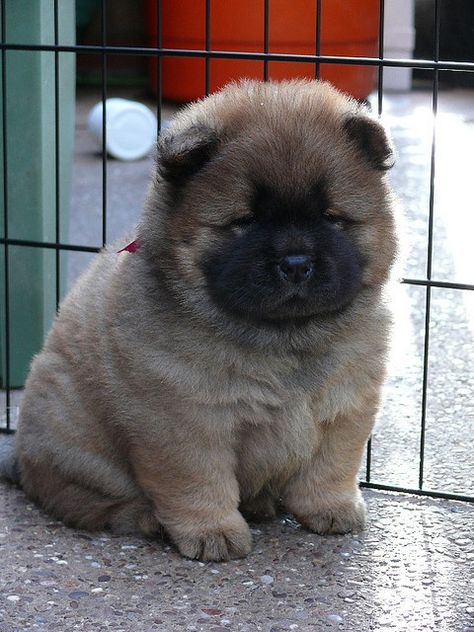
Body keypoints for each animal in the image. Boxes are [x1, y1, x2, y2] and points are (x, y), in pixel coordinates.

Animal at [1, 81, 398, 560]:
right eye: (245, 221)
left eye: (331, 218)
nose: (296, 263)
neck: (284, 340)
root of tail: (19, 456)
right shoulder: (184, 422)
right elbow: (198, 483)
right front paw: (214, 535)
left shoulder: (346, 407)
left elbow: (332, 467)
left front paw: (333, 510)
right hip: (79, 449)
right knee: (90, 503)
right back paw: (150, 519)